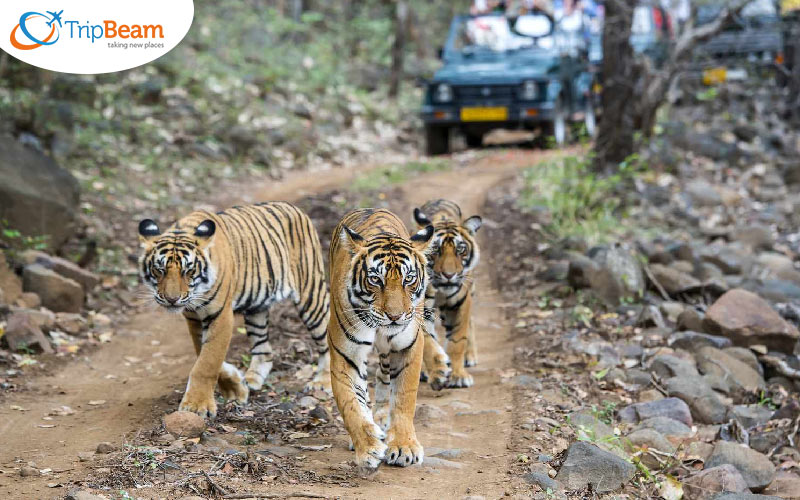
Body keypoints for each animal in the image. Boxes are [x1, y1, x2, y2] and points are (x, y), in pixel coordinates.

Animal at [137, 202, 330, 418]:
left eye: (189, 270)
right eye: (159, 270)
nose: (172, 299)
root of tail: (294, 208)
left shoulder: (220, 315)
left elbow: (208, 361)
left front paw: (196, 406)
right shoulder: (194, 318)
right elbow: (203, 353)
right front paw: (236, 388)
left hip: (311, 294)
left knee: (327, 339)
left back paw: (322, 382)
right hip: (257, 308)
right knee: (264, 349)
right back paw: (252, 380)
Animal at [327, 208, 441, 474]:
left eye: (408, 279)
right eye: (375, 280)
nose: (395, 316)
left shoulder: (408, 348)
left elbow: (403, 399)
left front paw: (404, 447)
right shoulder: (346, 355)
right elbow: (352, 405)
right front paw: (368, 448)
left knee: (383, 376)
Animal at [413, 199, 482, 388]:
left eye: (460, 250)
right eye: (436, 250)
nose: (449, 275)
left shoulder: (461, 303)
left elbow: (457, 340)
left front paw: (458, 376)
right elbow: (427, 342)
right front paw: (438, 372)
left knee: (471, 322)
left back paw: (470, 357)